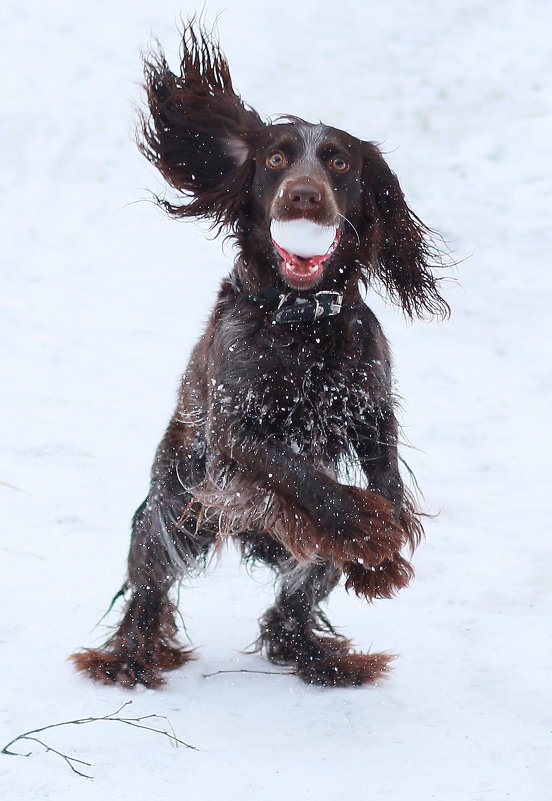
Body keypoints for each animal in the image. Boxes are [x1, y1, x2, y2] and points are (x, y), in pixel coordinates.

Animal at [71, 23, 448, 688]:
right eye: (275, 158)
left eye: (339, 161)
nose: (303, 196)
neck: (304, 322)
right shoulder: (235, 428)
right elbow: (298, 472)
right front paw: (367, 527)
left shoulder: (372, 407)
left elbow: (387, 479)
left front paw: (383, 551)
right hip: (167, 516)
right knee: (149, 591)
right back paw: (129, 659)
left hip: (309, 560)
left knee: (291, 607)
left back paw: (323, 659)